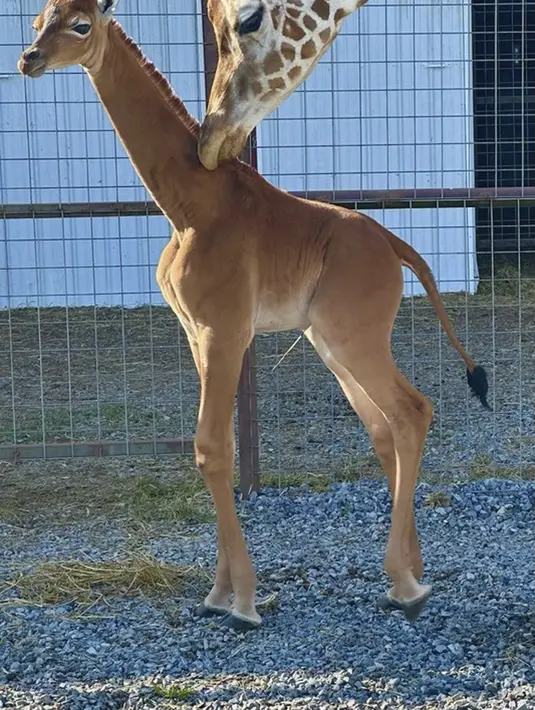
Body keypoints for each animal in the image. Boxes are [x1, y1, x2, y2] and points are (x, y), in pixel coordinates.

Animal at [19, 0, 490, 636]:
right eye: (36, 20)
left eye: (80, 25)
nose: (29, 59)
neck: (190, 205)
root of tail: (396, 245)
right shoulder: (196, 334)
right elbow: (217, 448)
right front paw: (219, 593)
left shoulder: (225, 329)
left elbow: (210, 447)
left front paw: (241, 600)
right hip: (329, 343)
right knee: (384, 426)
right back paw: (410, 573)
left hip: (354, 337)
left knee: (411, 411)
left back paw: (406, 584)